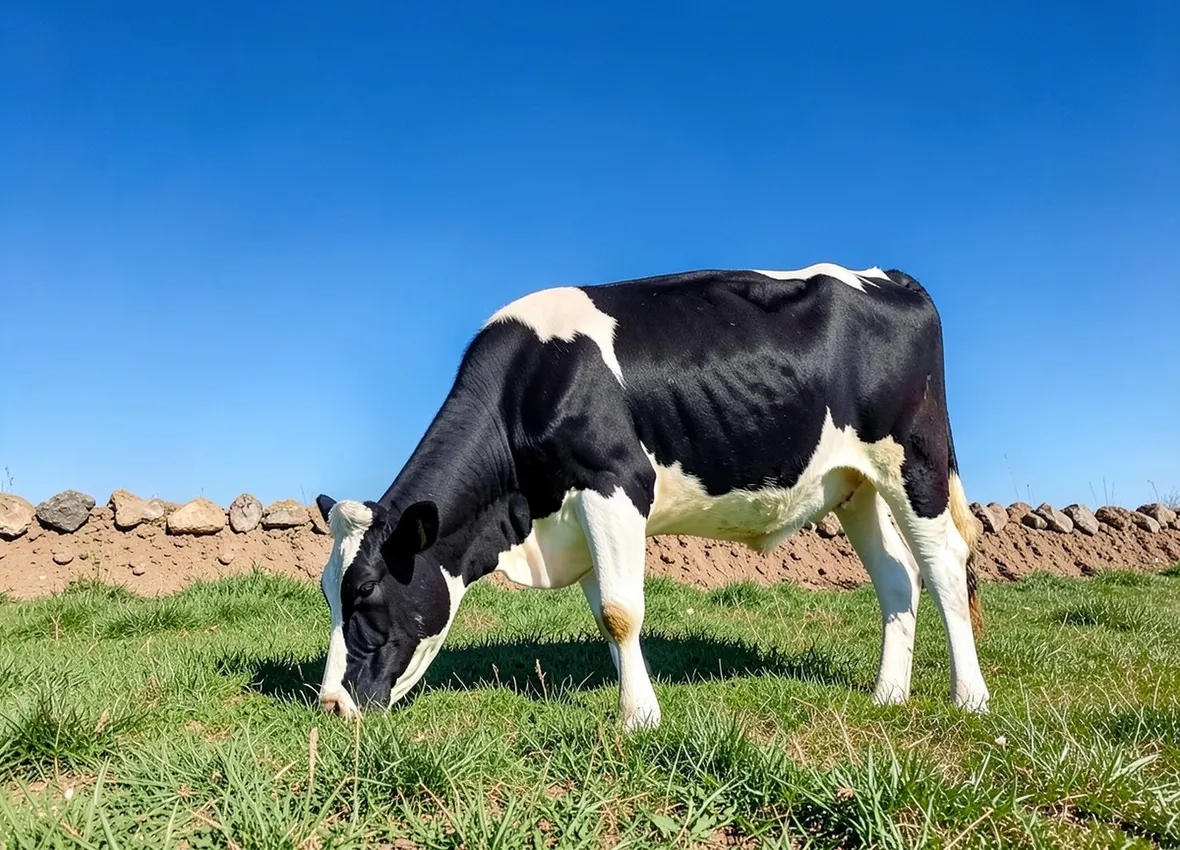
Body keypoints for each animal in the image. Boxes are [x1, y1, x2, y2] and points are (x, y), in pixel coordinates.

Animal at [315, 263, 989, 730]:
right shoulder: (579, 515)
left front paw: (638, 719)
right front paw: (636, 698)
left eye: (366, 592)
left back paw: (970, 698)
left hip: (915, 461)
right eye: (327, 591)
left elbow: (621, 611)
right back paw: (888, 696)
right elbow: (605, 613)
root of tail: (889, 276)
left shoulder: (614, 482)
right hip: (856, 484)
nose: (330, 705)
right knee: (899, 575)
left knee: (945, 567)